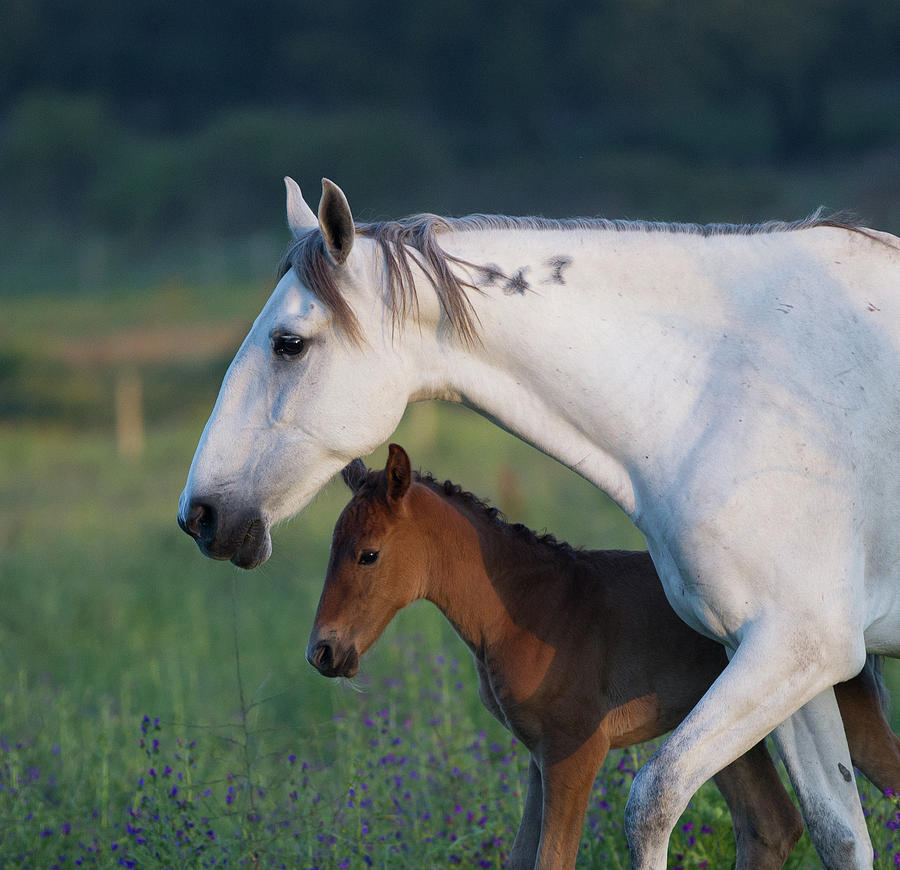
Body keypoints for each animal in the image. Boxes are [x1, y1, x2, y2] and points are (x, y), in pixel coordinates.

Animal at [306, 450, 896, 870]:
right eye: (330, 545)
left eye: (368, 554)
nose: (322, 652)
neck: (526, 607)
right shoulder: (539, 755)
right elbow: (522, 859)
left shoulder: (576, 750)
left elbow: (552, 860)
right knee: (770, 826)